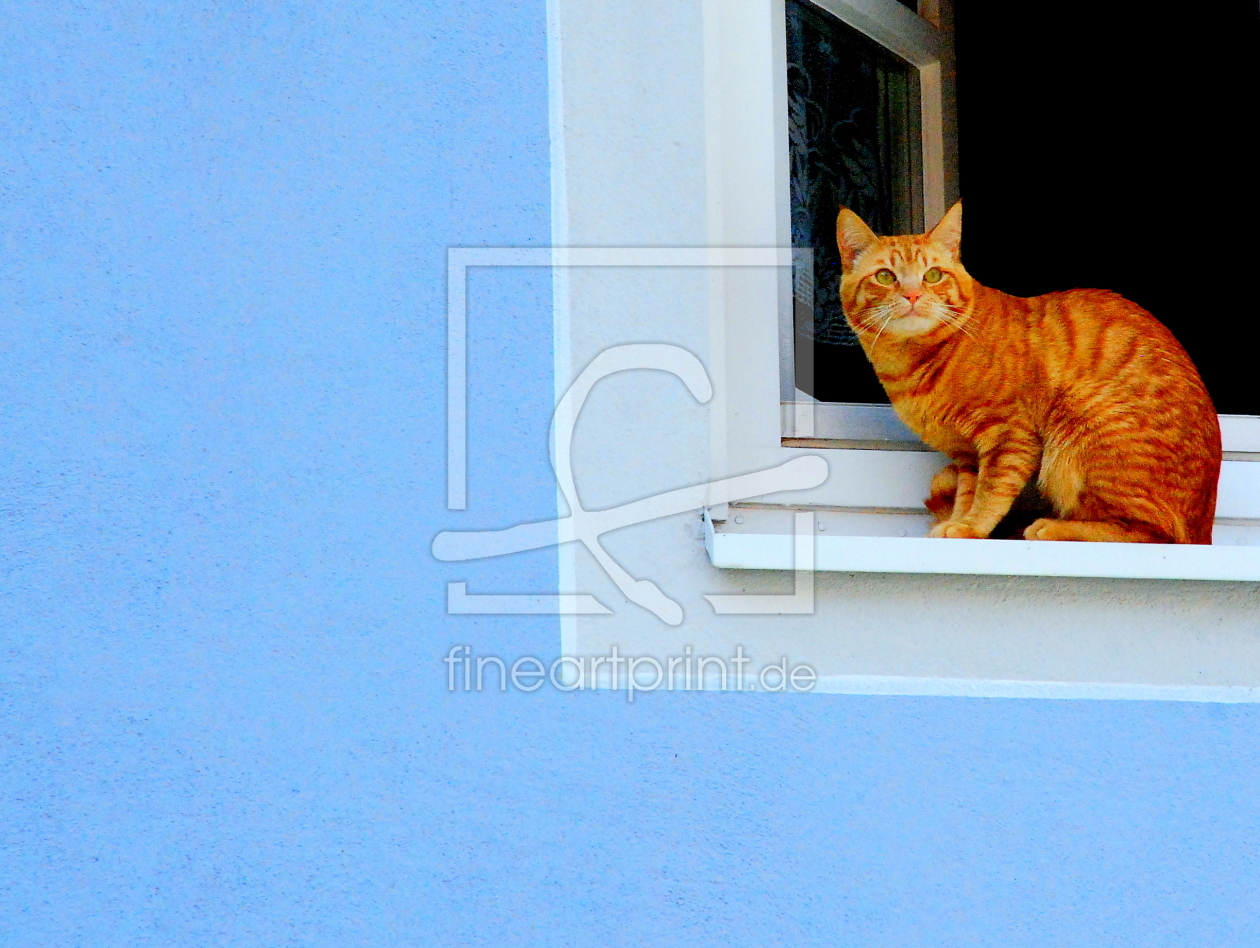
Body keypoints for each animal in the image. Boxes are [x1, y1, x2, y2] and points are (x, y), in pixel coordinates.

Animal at [836, 204, 1219, 544]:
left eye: (933, 275)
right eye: (886, 276)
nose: (913, 295)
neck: (914, 362)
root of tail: (1205, 529)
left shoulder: (1009, 435)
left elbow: (991, 491)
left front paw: (971, 527)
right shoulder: (966, 455)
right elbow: (967, 492)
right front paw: (959, 521)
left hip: (1081, 425)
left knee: (1150, 534)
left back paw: (1055, 528)